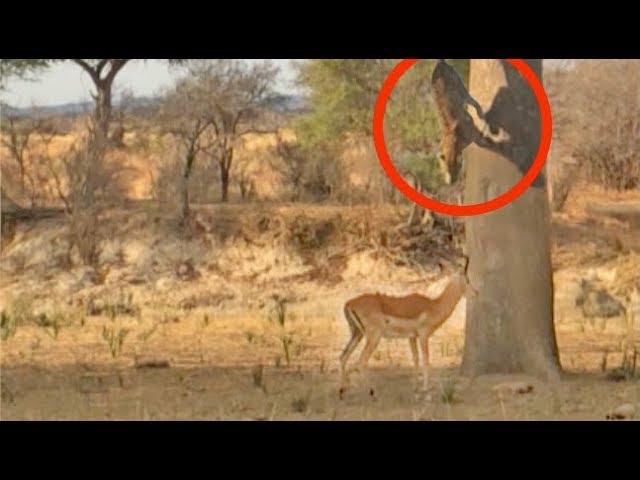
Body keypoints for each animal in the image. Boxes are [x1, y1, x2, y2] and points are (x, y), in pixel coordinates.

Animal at [340, 262, 476, 390]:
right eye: (467, 279)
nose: (476, 293)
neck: (434, 306)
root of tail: (349, 303)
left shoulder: (412, 337)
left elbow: (415, 359)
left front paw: (415, 386)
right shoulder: (423, 335)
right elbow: (426, 359)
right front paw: (426, 388)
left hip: (357, 334)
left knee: (343, 356)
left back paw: (344, 388)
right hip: (373, 337)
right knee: (361, 362)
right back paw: (372, 391)